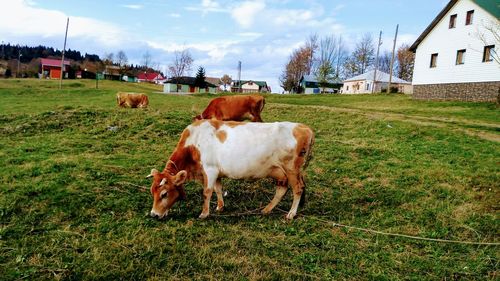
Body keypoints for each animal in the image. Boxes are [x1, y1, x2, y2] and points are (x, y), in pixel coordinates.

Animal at [146, 118, 314, 219]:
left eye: (164, 193)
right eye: (152, 192)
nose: (153, 214)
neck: (194, 143)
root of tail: (303, 127)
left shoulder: (209, 170)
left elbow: (207, 192)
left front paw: (204, 213)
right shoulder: (216, 172)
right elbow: (218, 189)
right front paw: (220, 207)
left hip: (292, 169)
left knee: (298, 189)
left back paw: (291, 213)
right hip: (281, 172)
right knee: (281, 189)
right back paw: (267, 209)